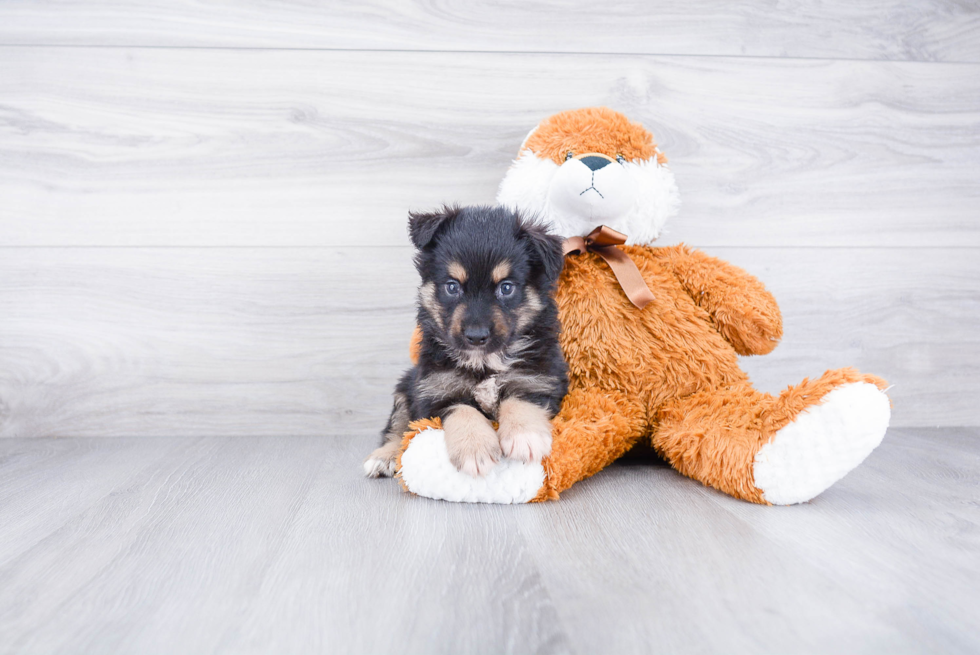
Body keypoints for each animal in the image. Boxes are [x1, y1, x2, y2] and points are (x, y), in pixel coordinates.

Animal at [366, 205, 568, 476]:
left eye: (506, 288)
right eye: (452, 287)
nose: (476, 336)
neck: (484, 362)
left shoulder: (539, 380)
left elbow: (520, 400)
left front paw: (525, 437)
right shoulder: (435, 391)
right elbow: (464, 410)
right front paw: (476, 450)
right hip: (406, 385)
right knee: (398, 426)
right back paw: (384, 457)